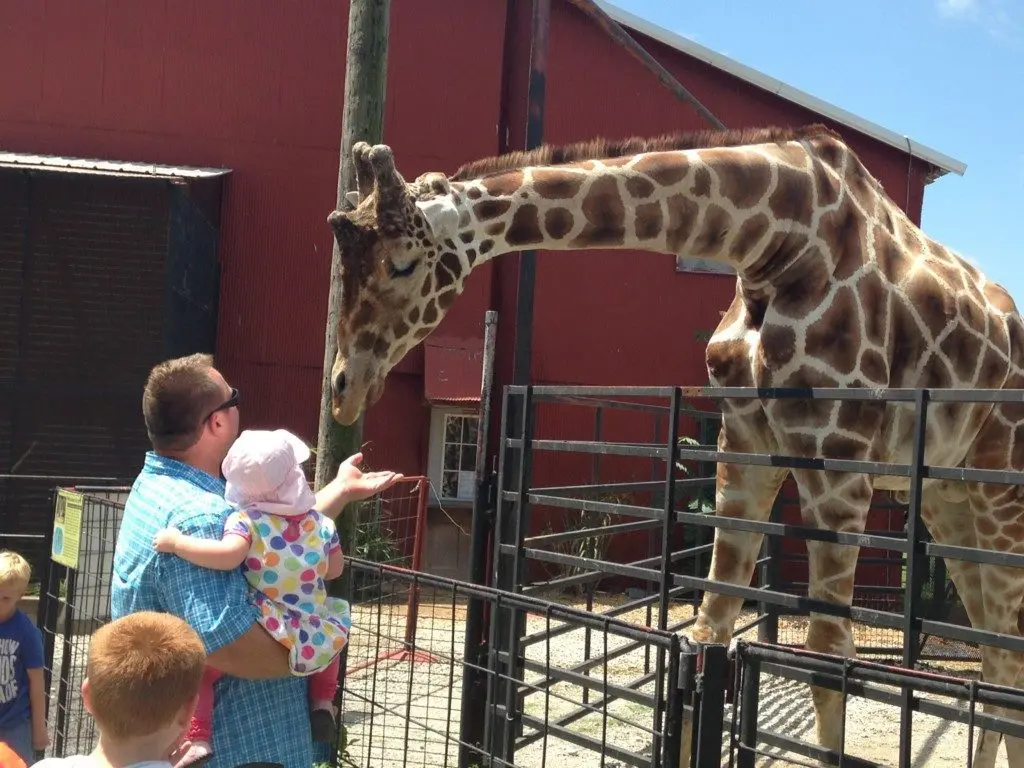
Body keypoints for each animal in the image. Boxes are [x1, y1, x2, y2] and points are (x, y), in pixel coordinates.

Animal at [325, 124, 1024, 766]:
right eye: (342, 264)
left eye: (402, 262)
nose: (342, 388)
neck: (773, 244)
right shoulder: (746, 451)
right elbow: (708, 633)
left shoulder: (839, 463)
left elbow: (828, 663)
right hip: (947, 495)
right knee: (995, 653)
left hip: (1001, 486)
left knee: (1006, 652)